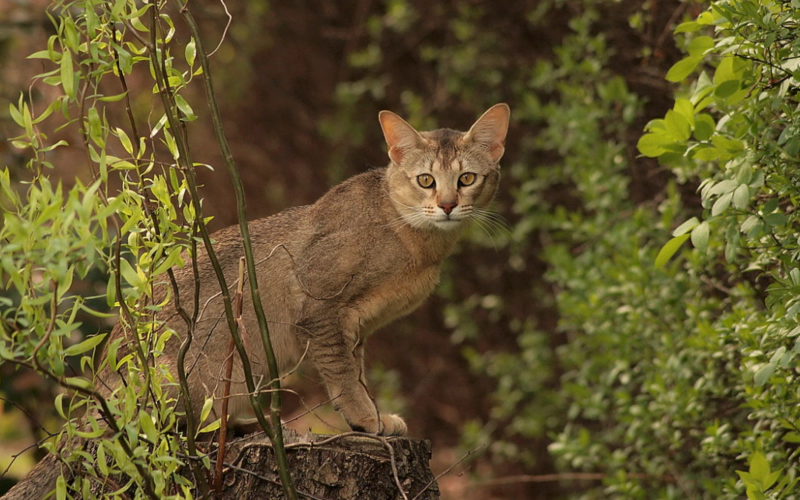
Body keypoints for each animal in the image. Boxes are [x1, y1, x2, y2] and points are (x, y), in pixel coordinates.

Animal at [0, 102, 510, 500]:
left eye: (467, 178)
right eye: (425, 180)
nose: (447, 205)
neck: (413, 238)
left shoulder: (355, 326)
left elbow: (358, 369)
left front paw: (373, 415)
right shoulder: (319, 307)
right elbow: (344, 375)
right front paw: (366, 418)